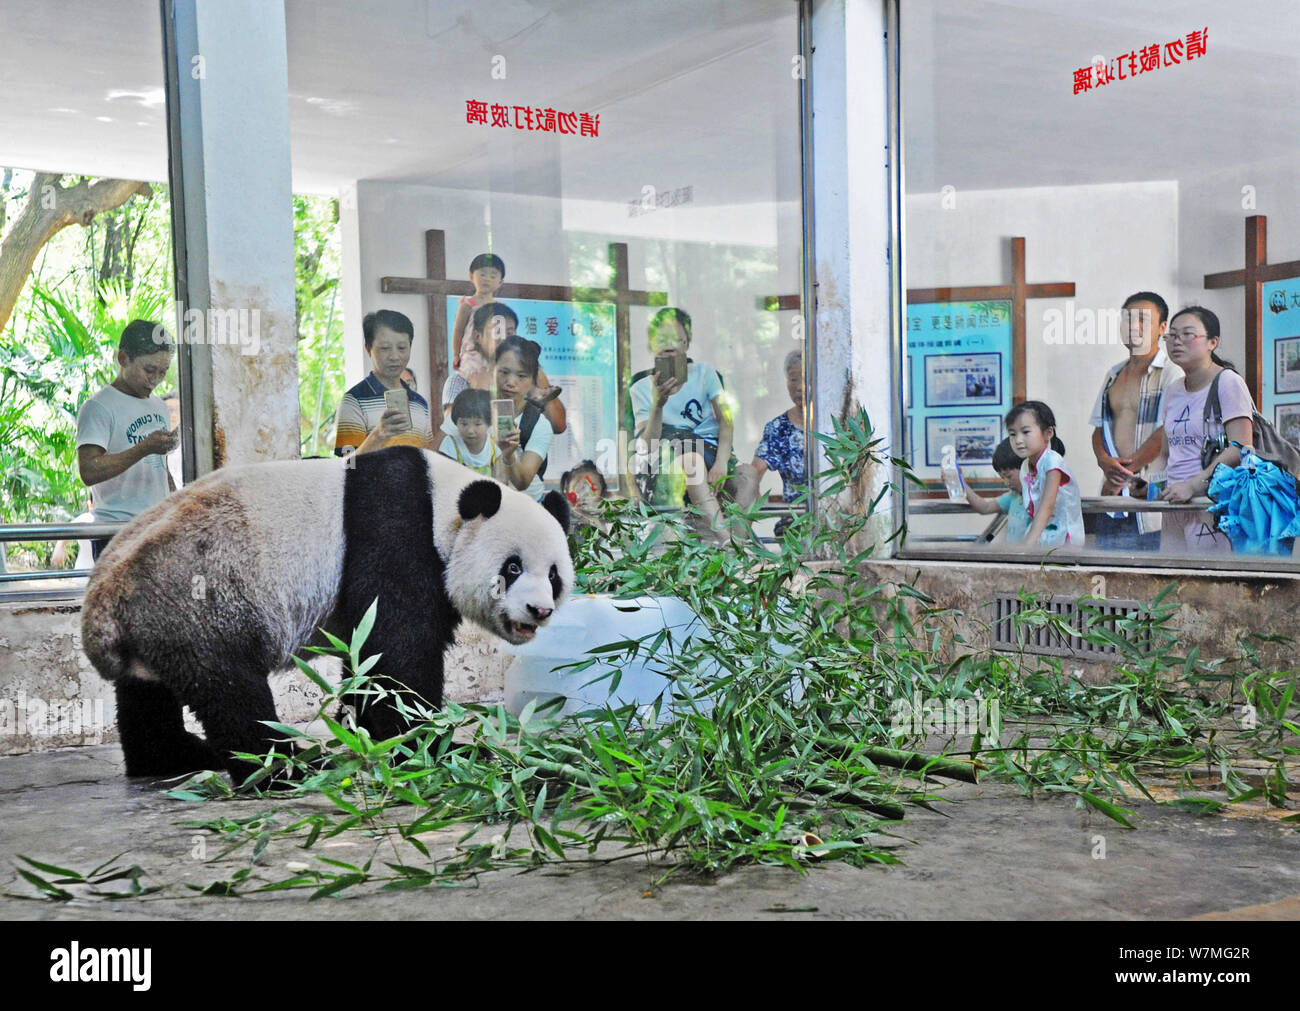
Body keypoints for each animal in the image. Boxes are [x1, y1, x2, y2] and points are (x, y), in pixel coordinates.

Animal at [78, 444, 572, 784]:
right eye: (512, 567)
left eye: (553, 575)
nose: (539, 609)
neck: (444, 503)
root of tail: (102, 614)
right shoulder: (395, 533)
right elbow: (399, 656)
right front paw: (432, 747)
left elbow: (367, 659)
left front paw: (372, 733)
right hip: (197, 603)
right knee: (231, 691)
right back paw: (282, 767)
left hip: (152, 627)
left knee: (146, 696)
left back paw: (171, 757)